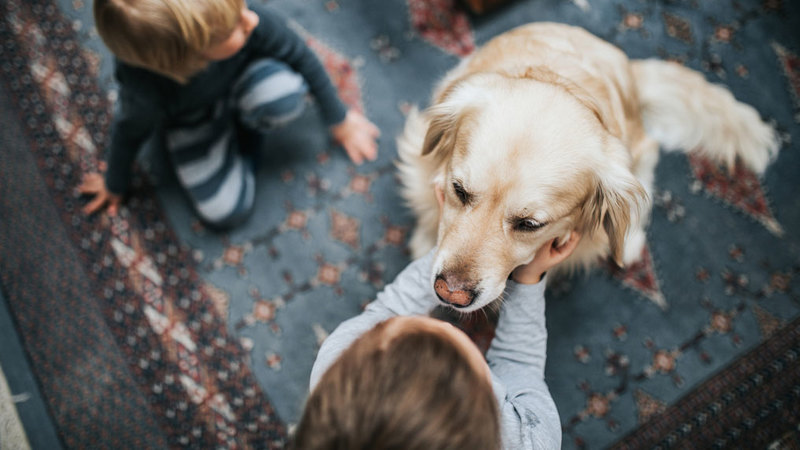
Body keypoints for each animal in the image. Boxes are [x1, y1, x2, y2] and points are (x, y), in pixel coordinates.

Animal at [396, 21, 780, 312]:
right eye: (459, 190)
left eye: (530, 225)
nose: (450, 293)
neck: (558, 79)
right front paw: (425, 239)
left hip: (636, 153)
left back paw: (629, 243)